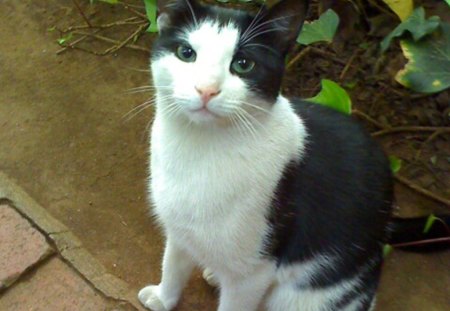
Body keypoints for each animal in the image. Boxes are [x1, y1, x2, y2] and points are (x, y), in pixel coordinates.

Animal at [137, 0, 394, 311]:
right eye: (186, 53)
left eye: (243, 64)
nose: (206, 89)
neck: (199, 149)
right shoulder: (179, 230)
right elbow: (173, 264)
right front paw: (163, 298)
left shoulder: (253, 273)